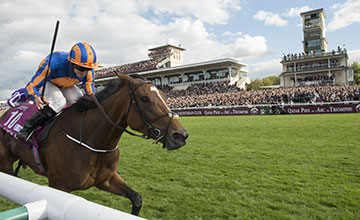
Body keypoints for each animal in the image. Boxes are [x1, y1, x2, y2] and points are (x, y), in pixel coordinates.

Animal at [0, 72, 188, 215]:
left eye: (164, 96)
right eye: (144, 98)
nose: (180, 135)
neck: (91, 139)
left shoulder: (106, 179)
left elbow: (137, 198)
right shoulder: (58, 187)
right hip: (6, 164)